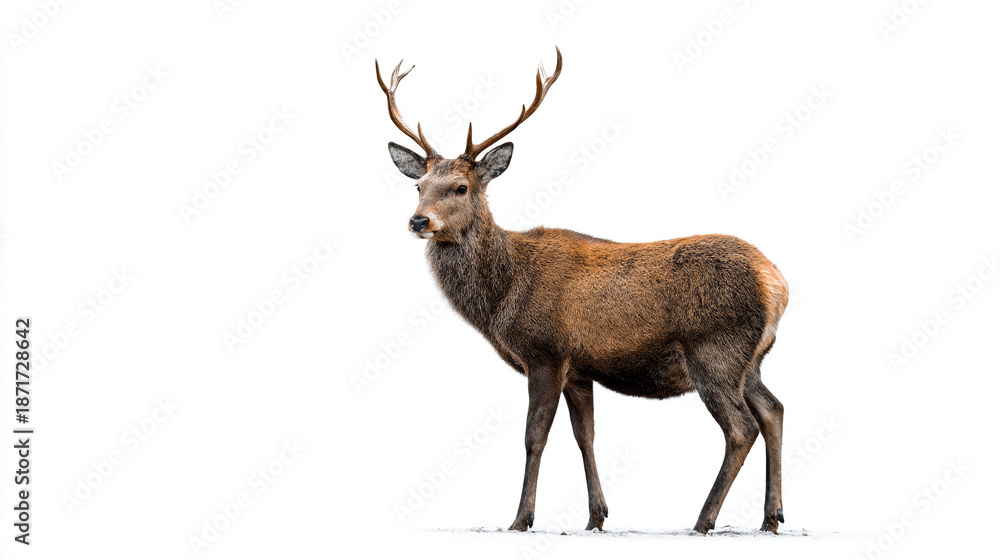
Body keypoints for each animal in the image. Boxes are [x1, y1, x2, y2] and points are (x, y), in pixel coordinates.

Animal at [376, 47, 789, 535]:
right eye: (418, 186)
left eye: (460, 187)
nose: (419, 220)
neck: (501, 299)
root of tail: (776, 282)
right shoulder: (579, 367)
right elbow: (585, 435)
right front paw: (596, 516)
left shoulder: (546, 351)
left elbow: (535, 436)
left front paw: (521, 518)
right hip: (752, 359)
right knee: (773, 410)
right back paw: (771, 517)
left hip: (715, 350)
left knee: (742, 427)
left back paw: (704, 519)